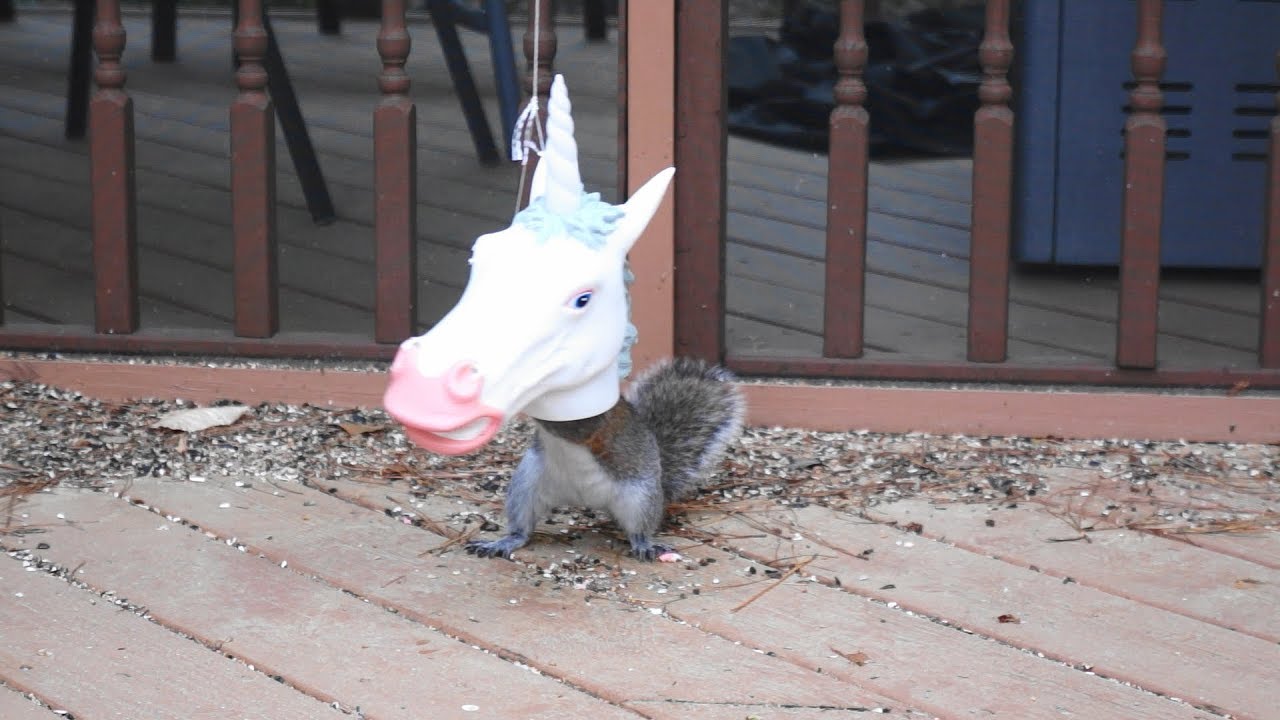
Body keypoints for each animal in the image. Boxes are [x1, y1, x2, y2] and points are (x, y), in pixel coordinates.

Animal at [466, 357, 746, 561]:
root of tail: (588, 500)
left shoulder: (588, 420)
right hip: (526, 485)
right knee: (522, 530)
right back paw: (503, 542)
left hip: (639, 499)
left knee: (638, 529)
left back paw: (644, 545)